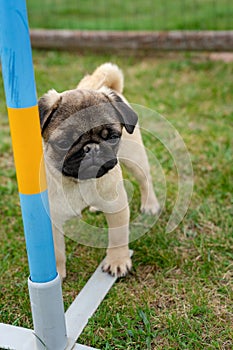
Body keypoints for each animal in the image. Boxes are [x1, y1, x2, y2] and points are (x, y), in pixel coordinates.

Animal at [38, 63, 160, 278]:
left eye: (111, 136)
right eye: (64, 143)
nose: (92, 148)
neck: (77, 182)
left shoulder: (117, 207)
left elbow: (118, 237)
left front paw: (117, 262)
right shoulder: (52, 220)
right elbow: (56, 252)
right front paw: (57, 274)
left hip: (135, 158)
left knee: (145, 180)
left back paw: (150, 205)